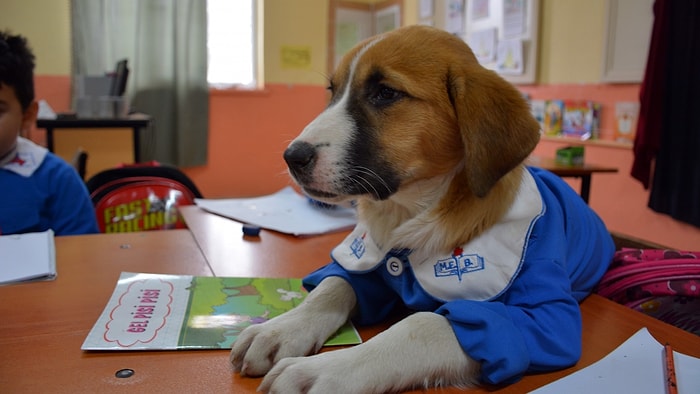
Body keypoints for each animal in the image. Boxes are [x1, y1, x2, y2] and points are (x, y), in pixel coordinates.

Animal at [232, 25, 544, 394]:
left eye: (385, 93)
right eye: (333, 91)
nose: (292, 157)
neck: (410, 210)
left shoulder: (538, 318)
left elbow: (424, 324)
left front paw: (326, 369)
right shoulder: (366, 265)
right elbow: (331, 287)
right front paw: (280, 328)